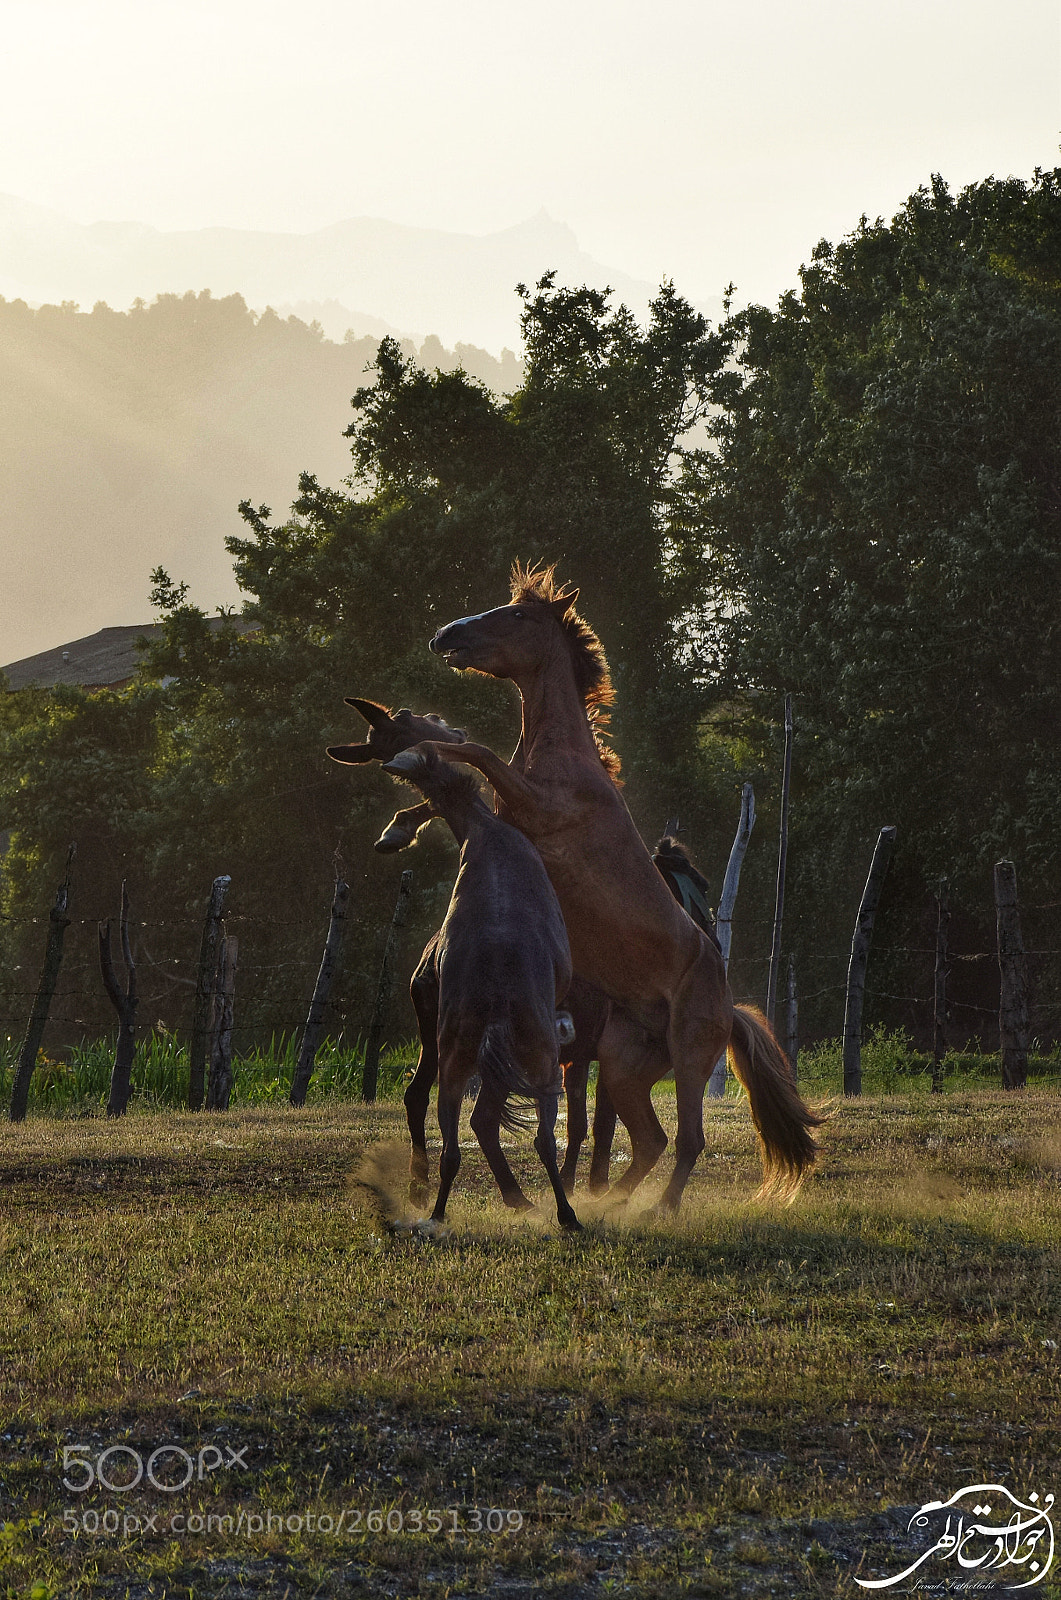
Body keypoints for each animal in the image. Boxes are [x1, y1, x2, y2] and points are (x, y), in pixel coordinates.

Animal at [381, 744, 580, 1233]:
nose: (389, 835)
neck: (483, 831)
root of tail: (494, 999)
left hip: (455, 1049)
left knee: (449, 1132)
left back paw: (435, 1209)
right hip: (537, 1054)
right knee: (537, 1136)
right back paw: (563, 1213)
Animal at [425, 561, 824, 1212]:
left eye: (516, 615)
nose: (445, 635)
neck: (561, 758)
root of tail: (729, 1004)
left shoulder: (538, 806)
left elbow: (480, 752)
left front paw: (424, 738)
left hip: (690, 1058)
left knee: (687, 1140)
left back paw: (658, 1210)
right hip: (621, 1064)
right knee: (651, 1140)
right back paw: (609, 1203)